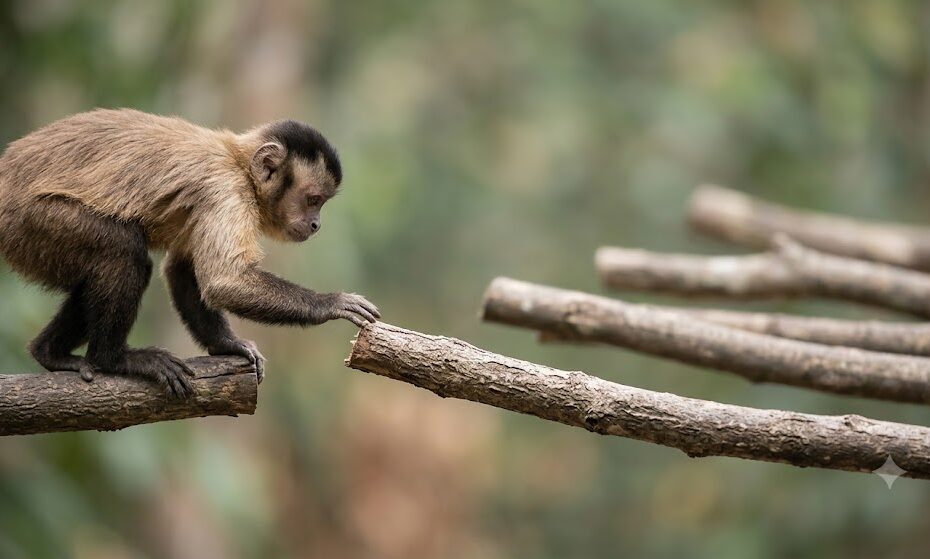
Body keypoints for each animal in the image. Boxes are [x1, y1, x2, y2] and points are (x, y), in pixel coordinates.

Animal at [0, 108, 380, 398]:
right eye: (313, 200)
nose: (317, 224)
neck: (239, 164)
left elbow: (181, 270)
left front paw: (227, 344)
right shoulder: (226, 190)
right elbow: (225, 281)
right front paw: (330, 303)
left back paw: (50, 353)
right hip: (29, 222)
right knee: (123, 250)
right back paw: (112, 359)